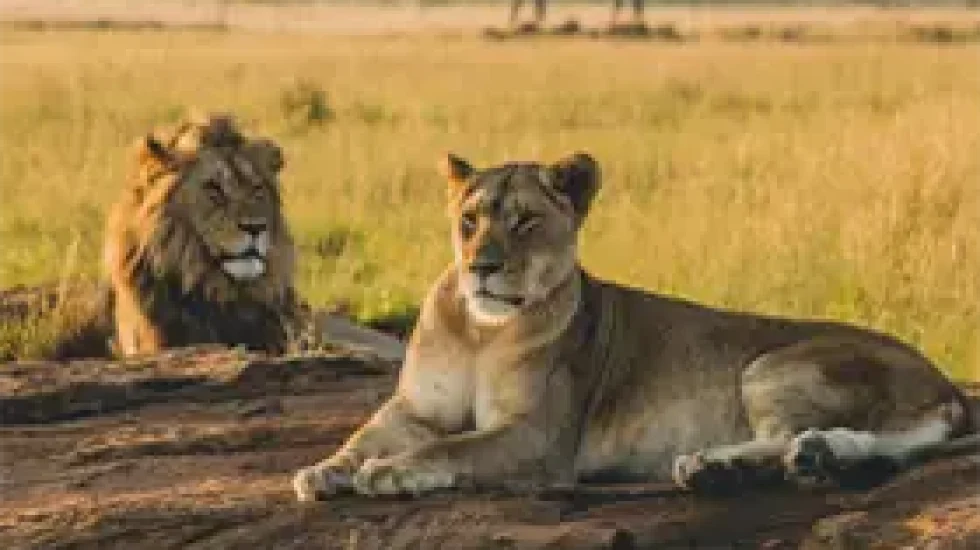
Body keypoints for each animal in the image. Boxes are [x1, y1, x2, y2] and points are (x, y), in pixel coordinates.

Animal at [293, 152, 979, 500]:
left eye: (524, 222)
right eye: (469, 221)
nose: (482, 267)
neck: (479, 331)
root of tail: (946, 385)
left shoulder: (538, 436)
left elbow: (452, 446)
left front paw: (390, 471)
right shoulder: (415, 407)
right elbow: (365, 434)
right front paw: (327, 470)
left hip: (771, 364)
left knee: (804, 433)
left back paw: (722, 464)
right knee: (860, 442)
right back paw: (784, 462)